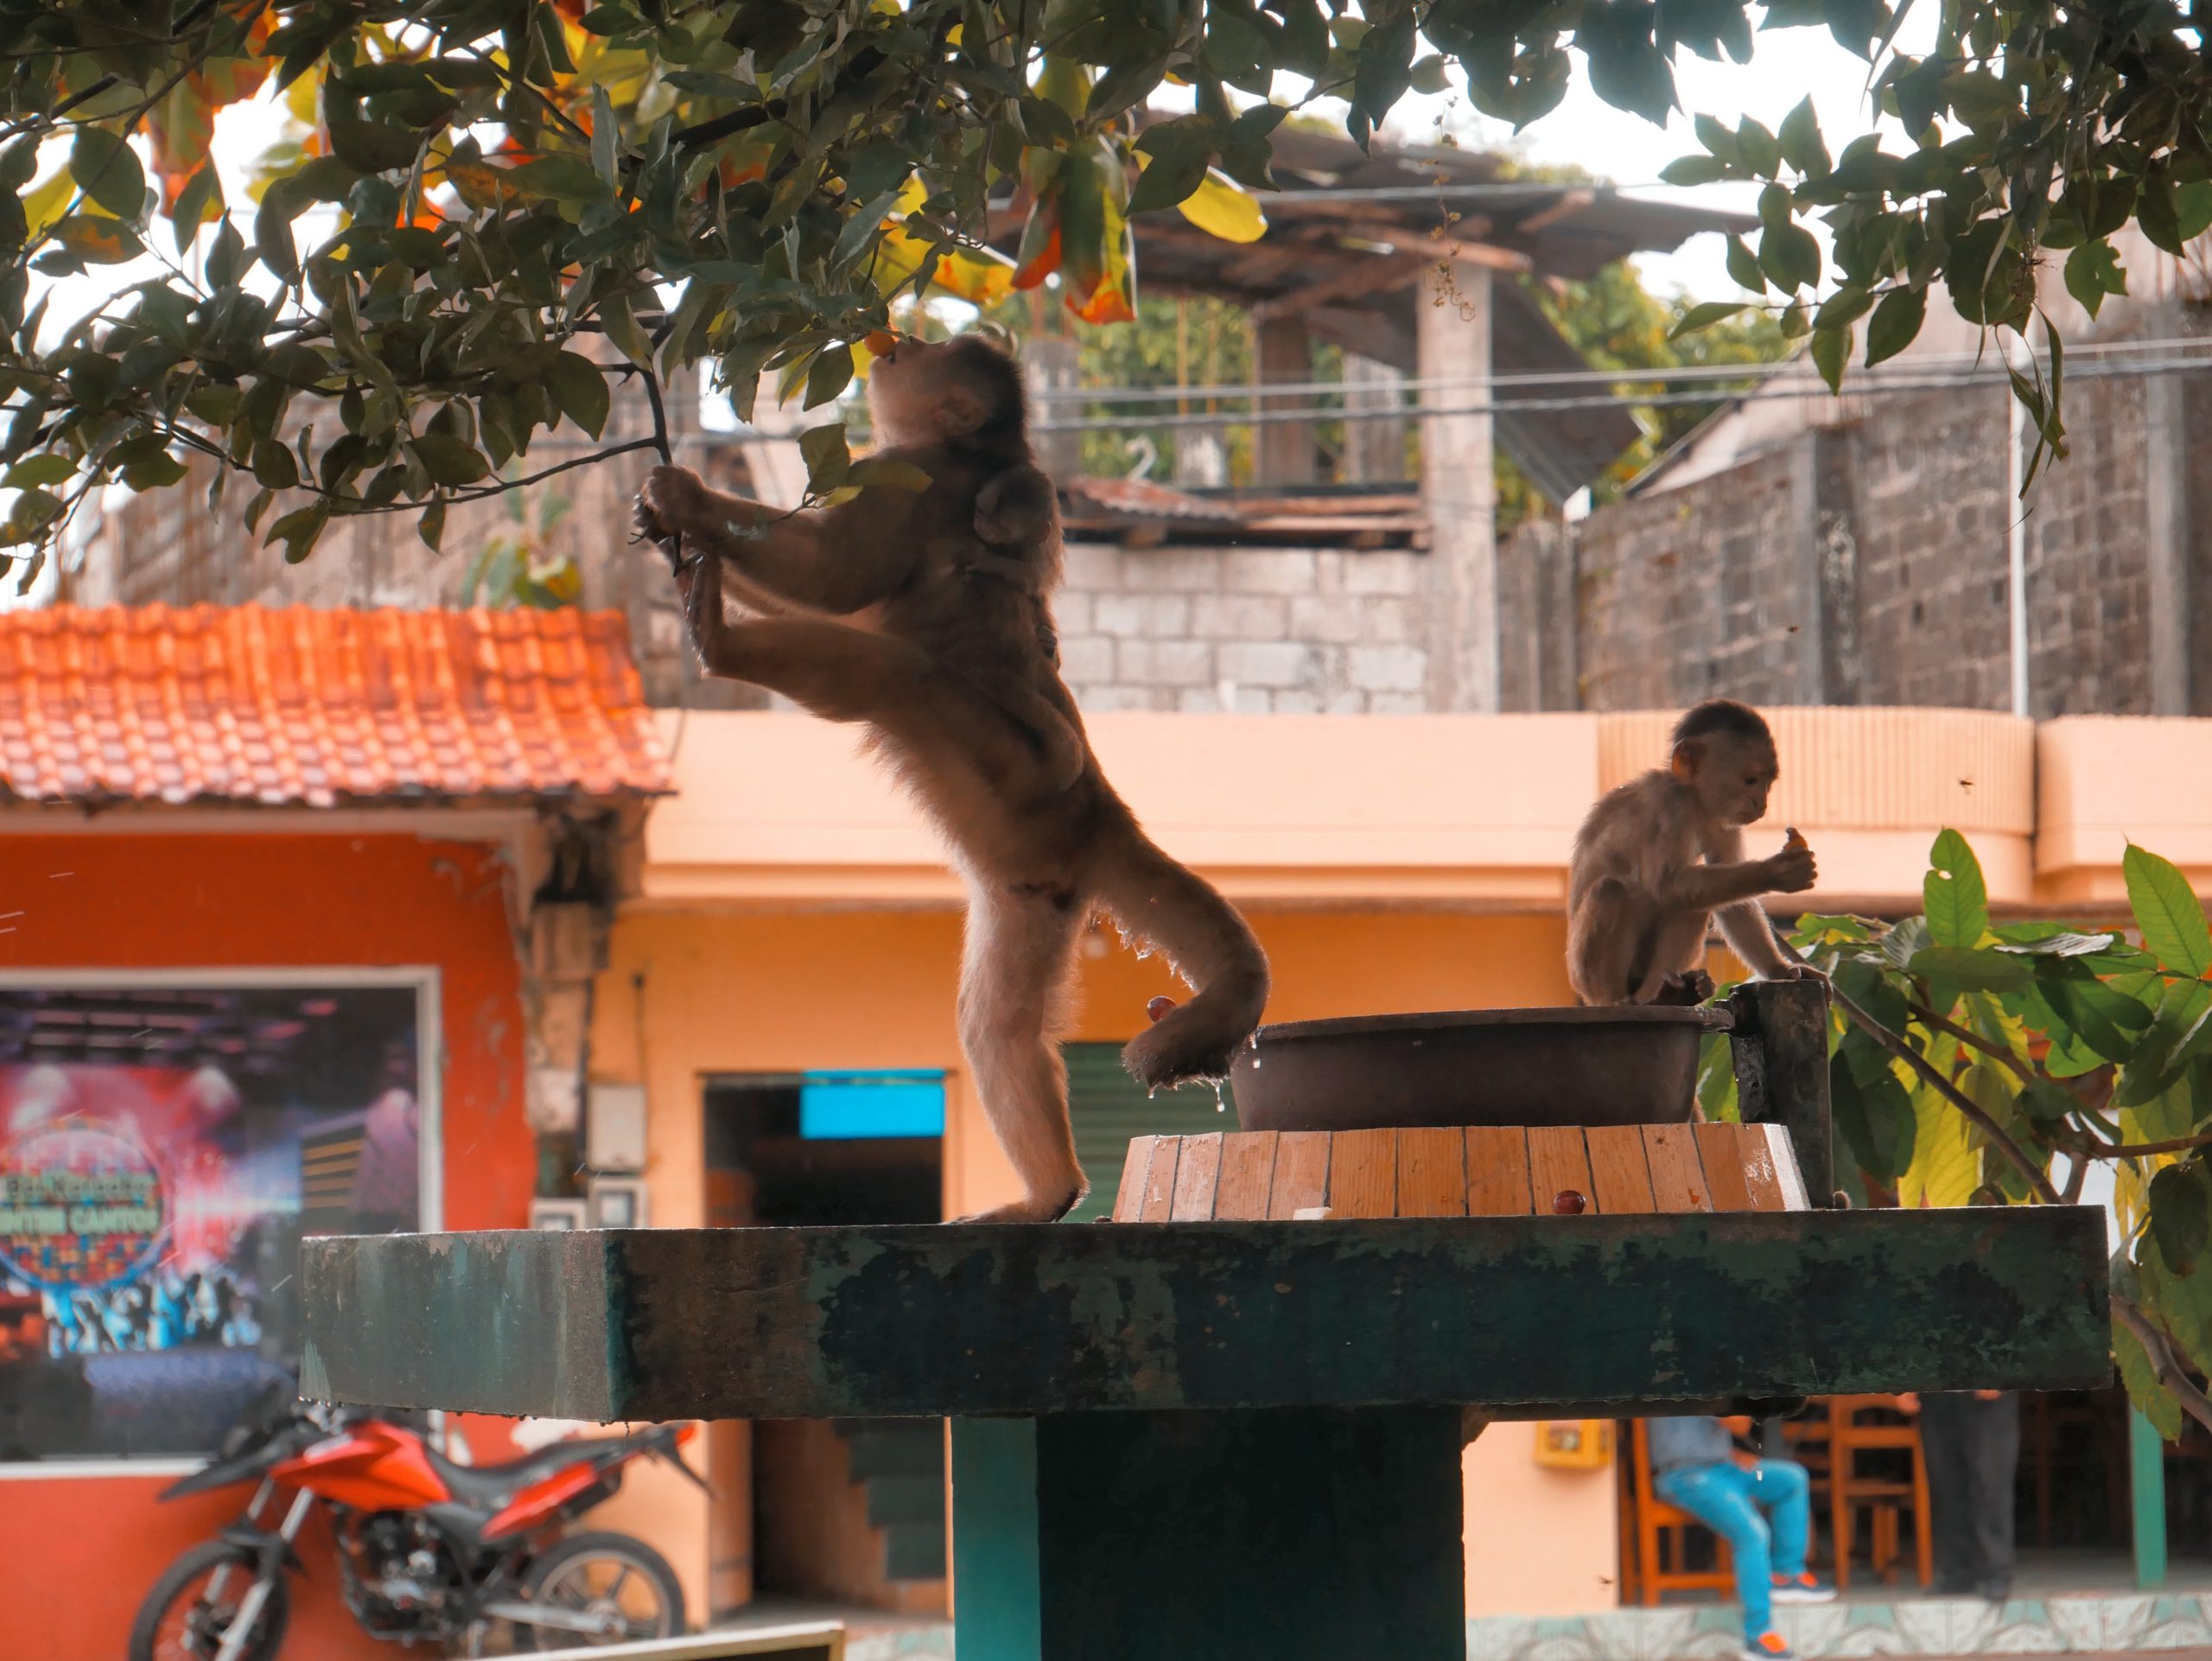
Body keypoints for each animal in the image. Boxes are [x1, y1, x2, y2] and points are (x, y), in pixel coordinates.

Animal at [632, 334, 1274, 1220]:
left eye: (930, 352)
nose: (898, 339)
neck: (980, 455)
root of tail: (1101, 813)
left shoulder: (912, 477)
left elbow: (835, 577)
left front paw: (687, 499)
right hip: (1034, 888)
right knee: (998, 1027)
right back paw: (1052, 1191)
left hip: (1011, 771)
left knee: (896, 676)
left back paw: (723, 640)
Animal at [1557, 698, 1814, 1009]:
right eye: (1751, 780)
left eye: (1769, 783)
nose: (1761, 804)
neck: (1693, 798)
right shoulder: (1672, 805)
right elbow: (1665, 886)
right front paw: (1777, 871)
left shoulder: (1721, 822)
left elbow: (1733, 902)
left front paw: (1780, 969)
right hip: (1583, 976)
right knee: (1610, 890)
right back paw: (1627, 1000)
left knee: (1695, 903)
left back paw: (1670, 995)